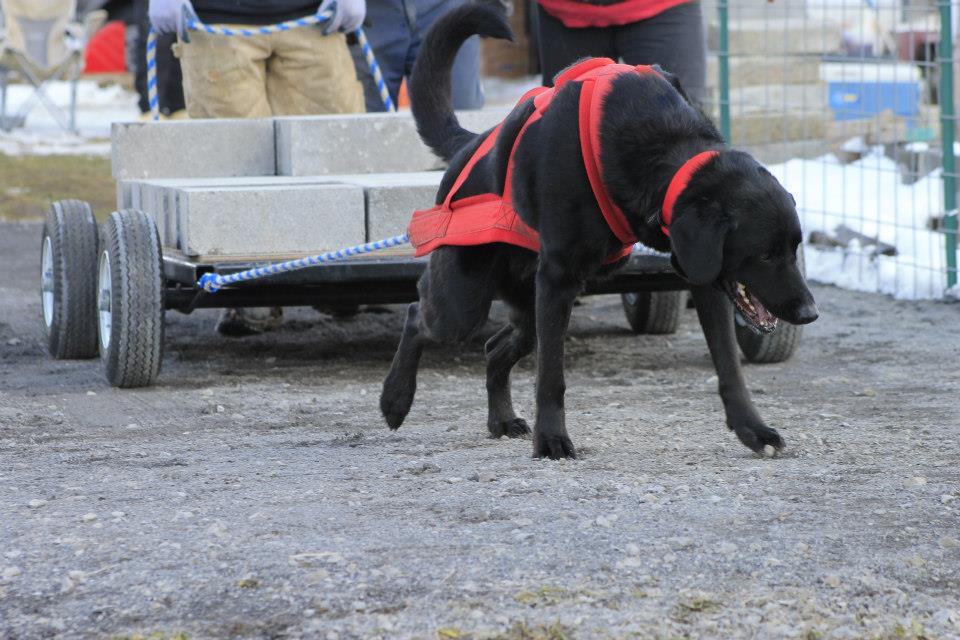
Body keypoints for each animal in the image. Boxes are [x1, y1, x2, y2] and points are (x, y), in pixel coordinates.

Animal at [378, 1, 812, 460]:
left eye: (794, 249)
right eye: (765, 254)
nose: (809, 313)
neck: (662, 147)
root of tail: (470, 144)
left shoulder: (706, 277)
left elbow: (730, 367)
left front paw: (752, 429)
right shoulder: (558, 279)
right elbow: (551, 377)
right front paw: (552, 440)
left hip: (526, 307)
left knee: (494, 348)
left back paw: (501, 420)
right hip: (464, 303)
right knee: (418, 314)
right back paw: (395, 398)